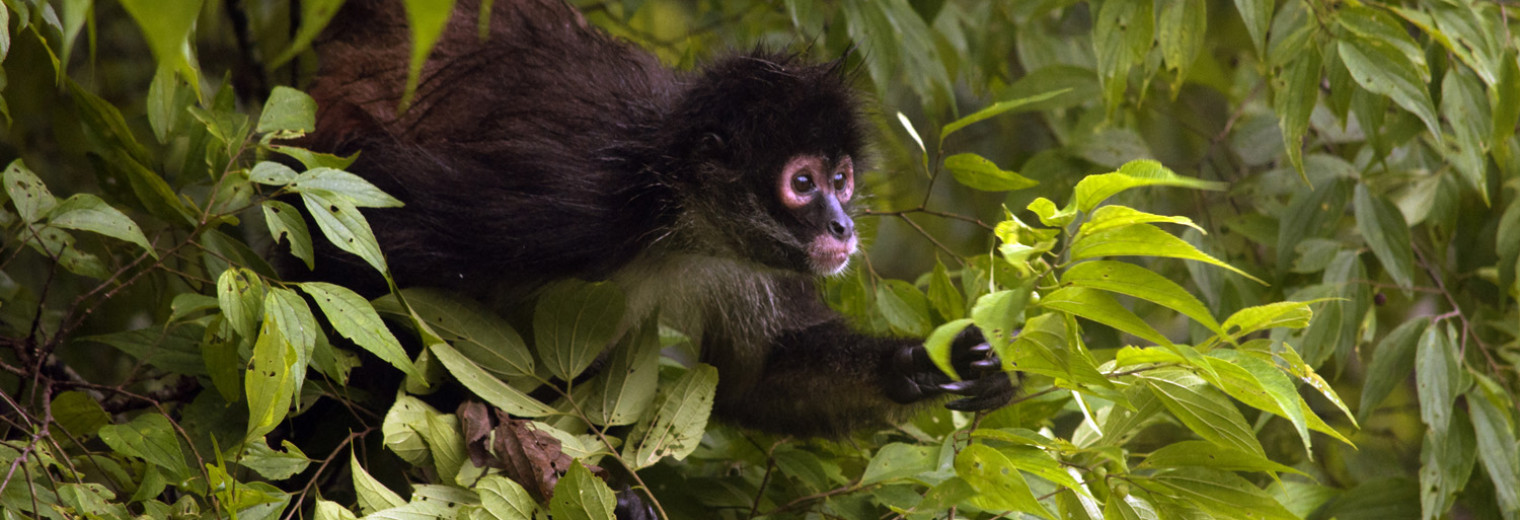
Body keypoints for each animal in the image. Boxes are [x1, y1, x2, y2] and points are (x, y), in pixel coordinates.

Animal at [290, 0, 1015, 437]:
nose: (841, 227)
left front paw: (923, 365)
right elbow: (357, 246)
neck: (680, 223)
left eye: (841, 180)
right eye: (803, 184)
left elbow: (757, 378)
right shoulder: (576, 201)